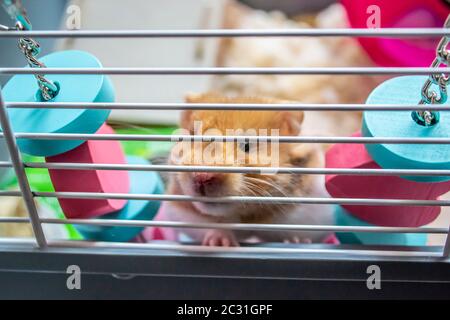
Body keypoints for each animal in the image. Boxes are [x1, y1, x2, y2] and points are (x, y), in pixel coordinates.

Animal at [164, 93, 334, 248]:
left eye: (246, 145)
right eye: (191, 138)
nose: (202, 177)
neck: (244, 215)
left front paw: (296, 241)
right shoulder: (183, 215)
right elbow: (214, 229)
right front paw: (220, 243)